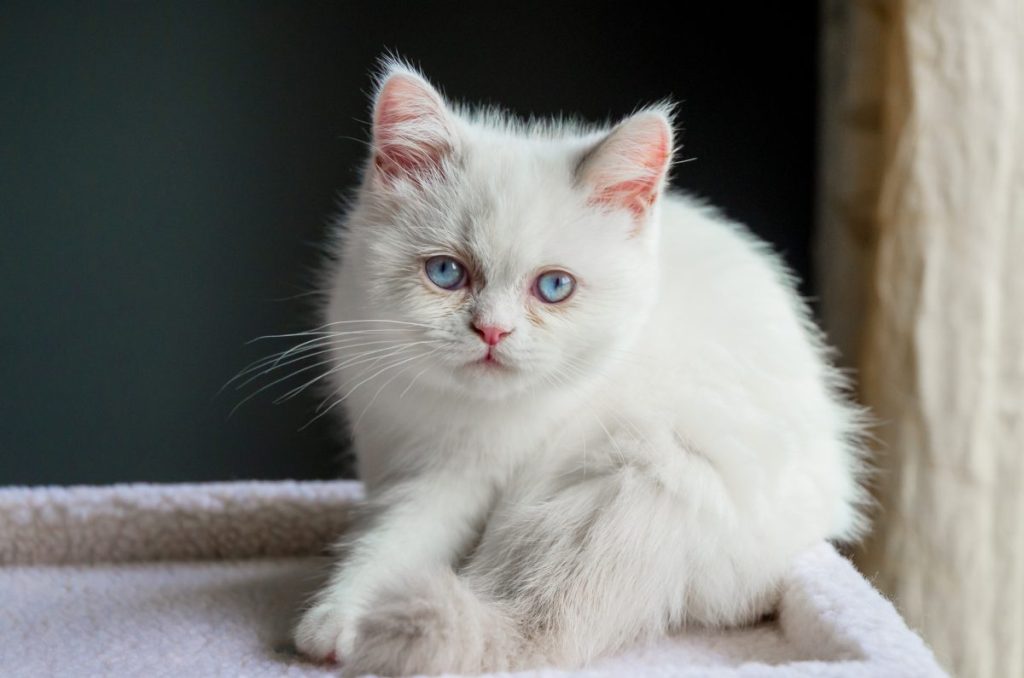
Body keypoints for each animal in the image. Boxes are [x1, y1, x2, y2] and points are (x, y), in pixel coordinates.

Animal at [292, 61, 868, 675]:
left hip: (643, 470)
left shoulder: (467, 475)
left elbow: (403, 537)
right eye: (446, 272)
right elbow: (380, 520)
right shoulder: (381, 438)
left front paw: (339, 619)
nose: (492, 332)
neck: (447, 405)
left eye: (554, 287)